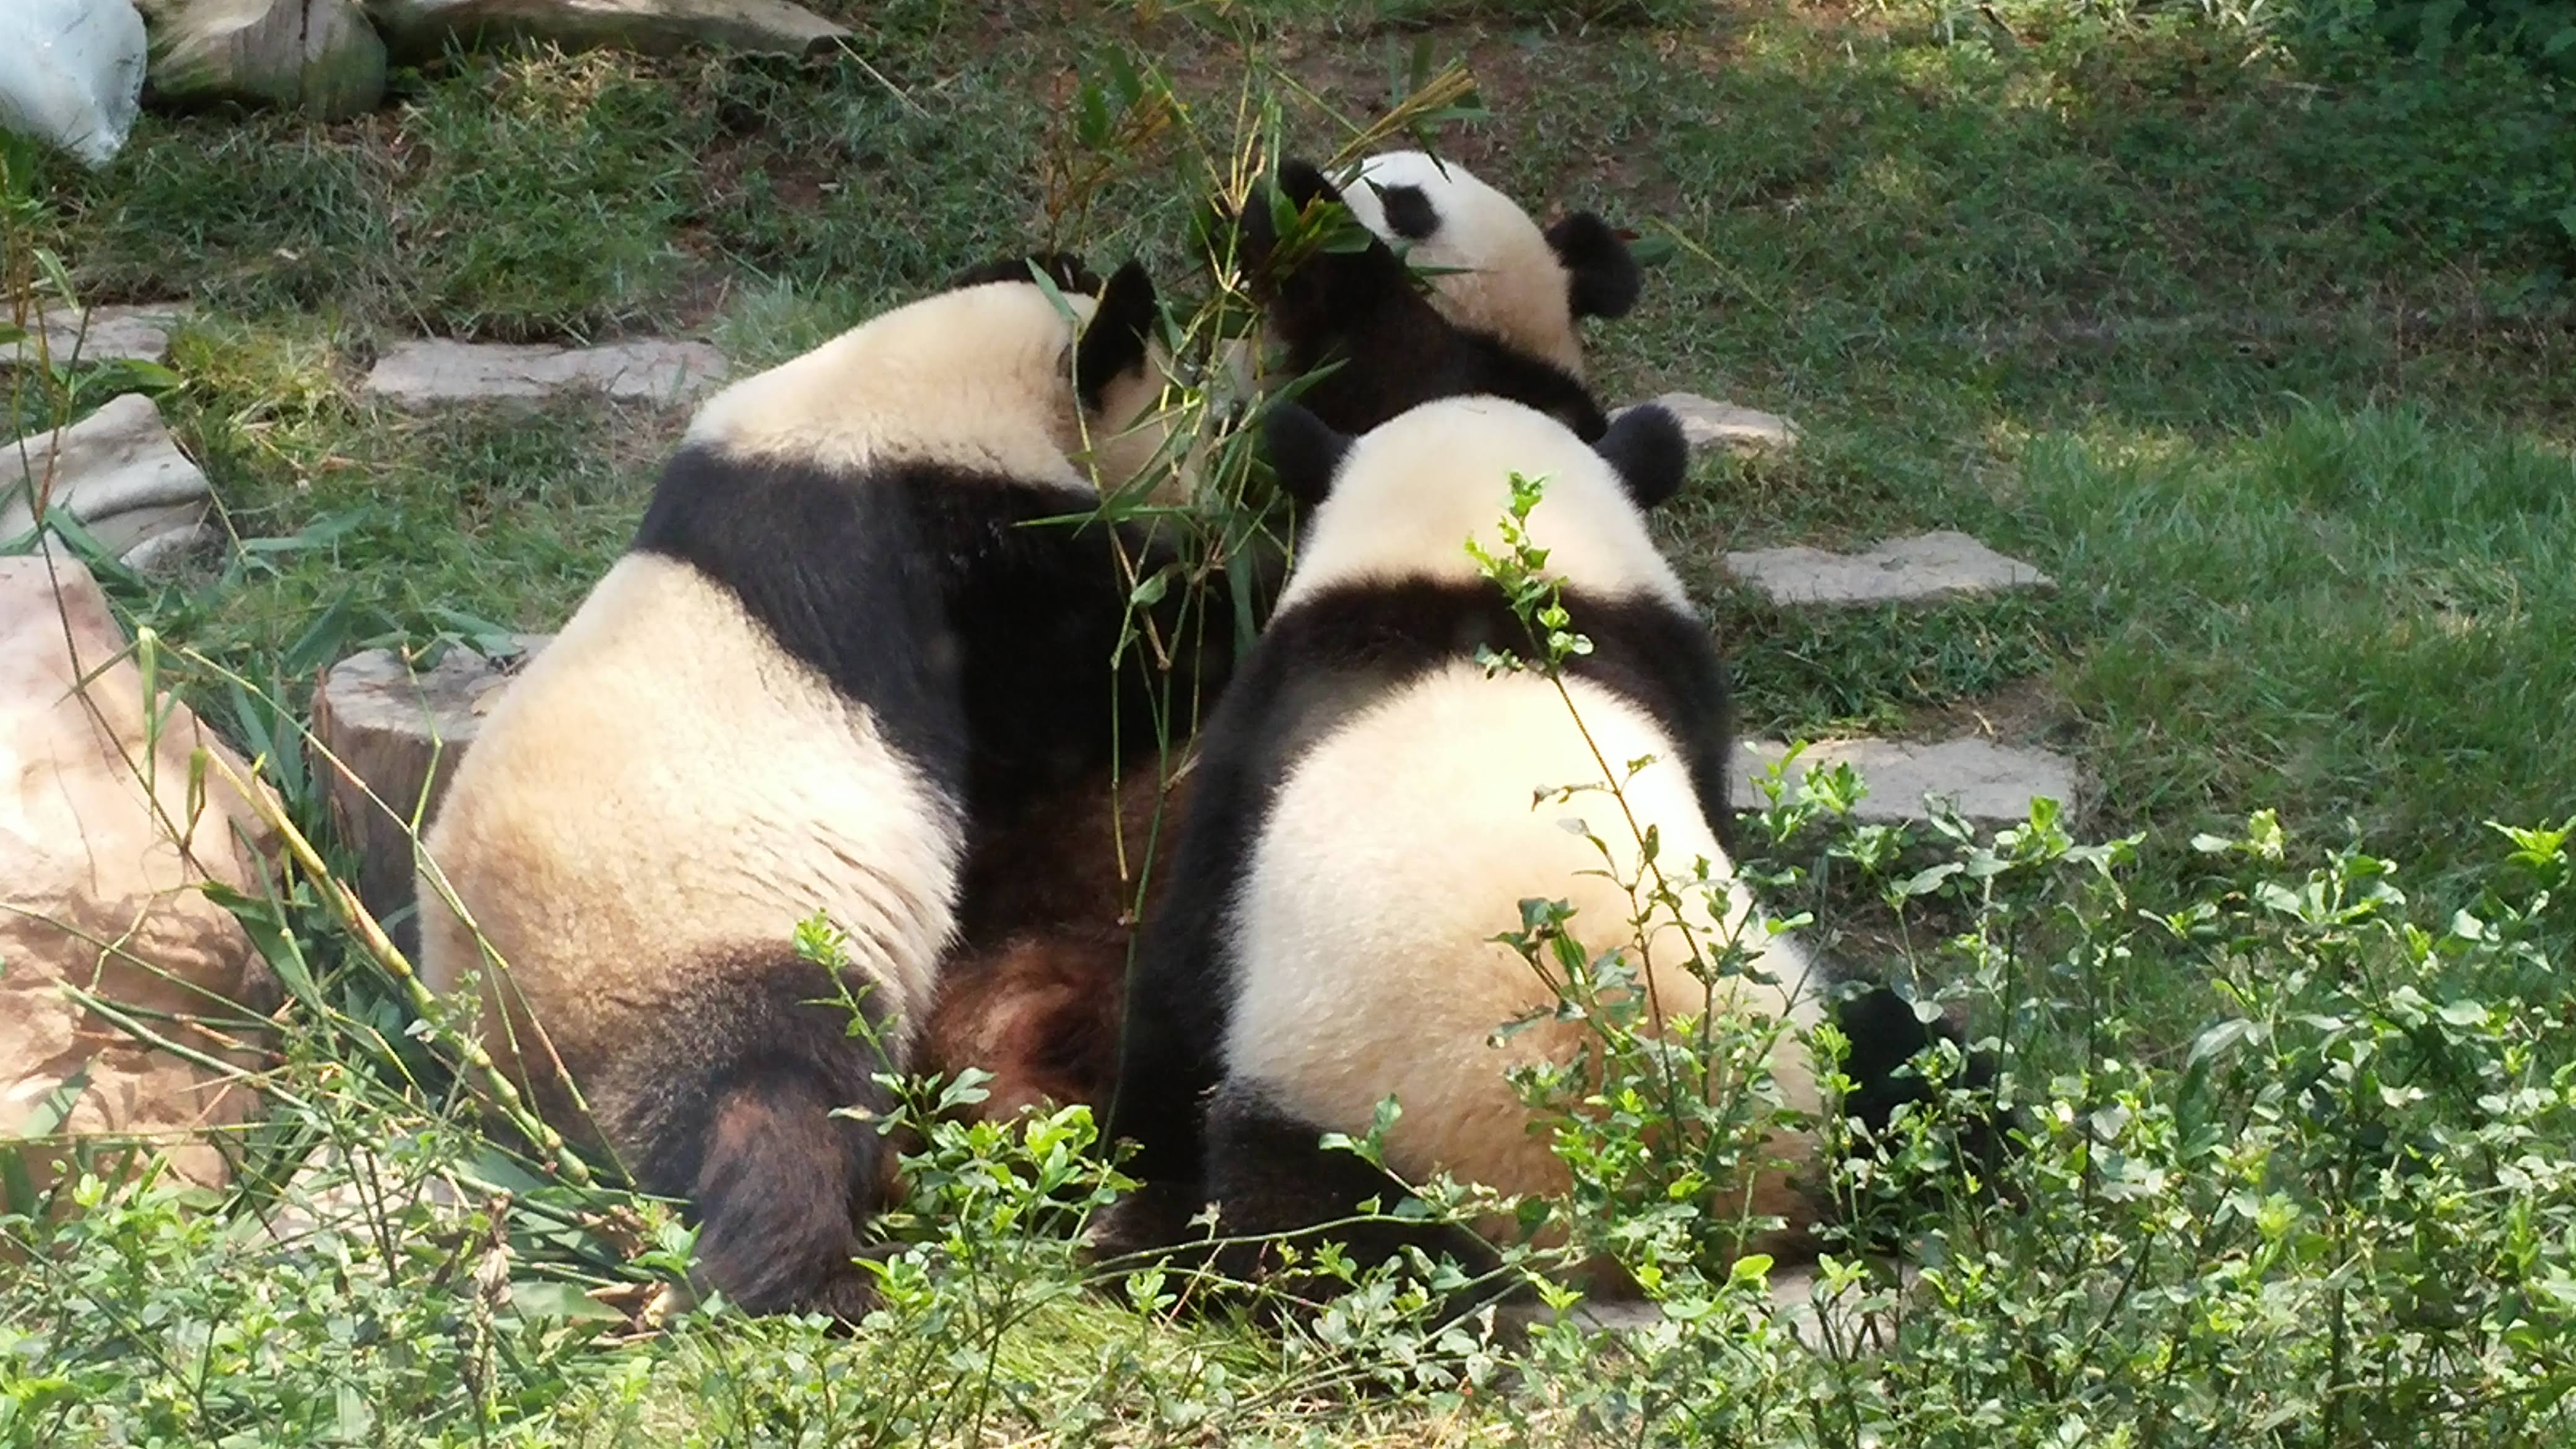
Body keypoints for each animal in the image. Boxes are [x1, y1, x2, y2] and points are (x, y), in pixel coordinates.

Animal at [417, 251, 1231, 1320]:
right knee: (785, 1095)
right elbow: (1096, 688)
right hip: (692, 963)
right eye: (1197, 423)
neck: (890, 403)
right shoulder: (947, 565)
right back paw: (822, 1280)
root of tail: (511, 1080)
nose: (1213, 484)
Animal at [1097, 394, 1957, 1310]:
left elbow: (1182, 984)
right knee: (1923, 1067)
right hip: (1833, 1070)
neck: (1479, 573)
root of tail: (1635, 1201)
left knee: (1302, 1236)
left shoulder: (1262, 721)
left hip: (1348, 1120)